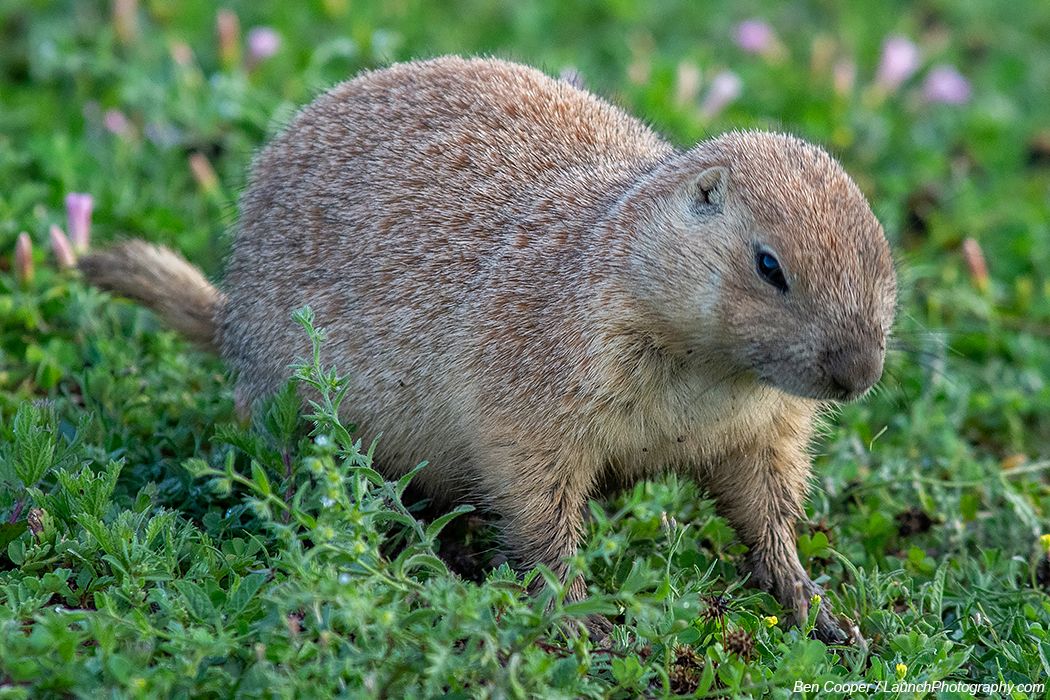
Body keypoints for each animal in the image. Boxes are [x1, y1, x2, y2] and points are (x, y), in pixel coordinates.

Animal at [80, 56, 897, 644]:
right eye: (770, 266)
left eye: (883, 255)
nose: (858, 375)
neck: (712, 372)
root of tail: (226, 315)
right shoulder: (537, 383)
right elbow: (538, 503)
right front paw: (584, 620)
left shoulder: (766, 425)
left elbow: (768, 501)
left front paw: (818, 607)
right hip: (286, 400)